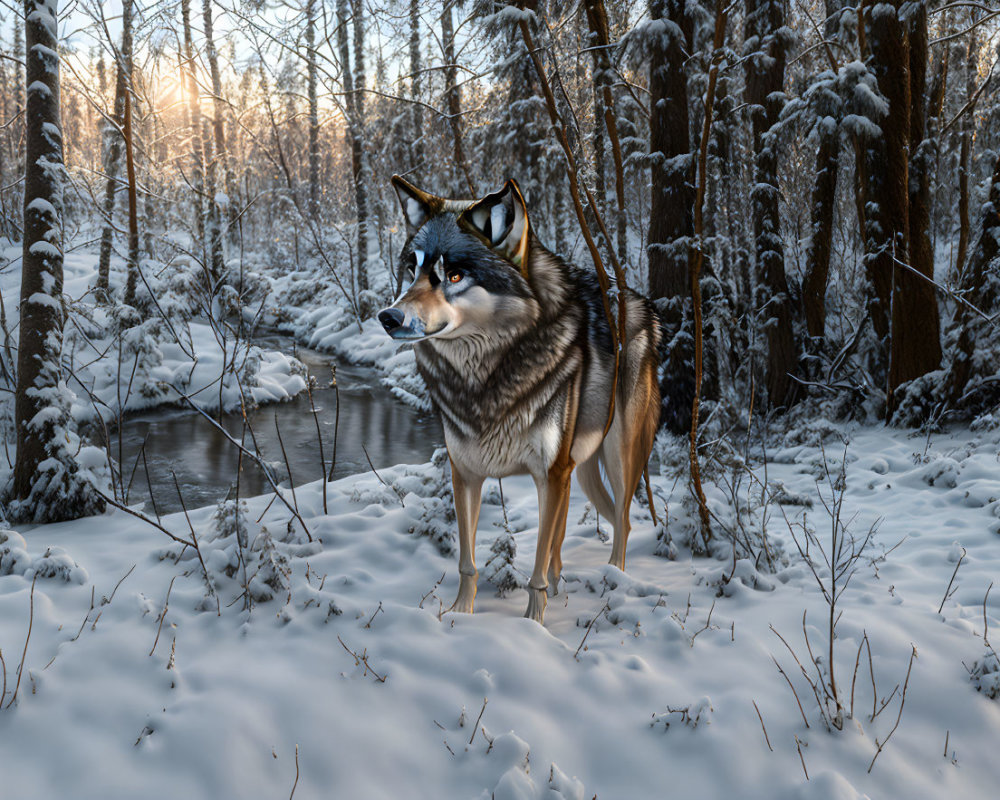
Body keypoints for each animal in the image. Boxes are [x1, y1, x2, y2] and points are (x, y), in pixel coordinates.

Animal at [378, 180, 660, 624]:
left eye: (454, 275)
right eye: (413, 270)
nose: (387, 317)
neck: (484, 379)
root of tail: (638, 300)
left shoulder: (549, 474)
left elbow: (537, 569)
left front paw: (533, 628)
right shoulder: (466, 473)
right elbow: (468, 561)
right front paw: (460, 616)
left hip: (614, 457)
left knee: (623, 521)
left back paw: (614, 581)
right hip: (578, 470)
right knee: (585, 528)